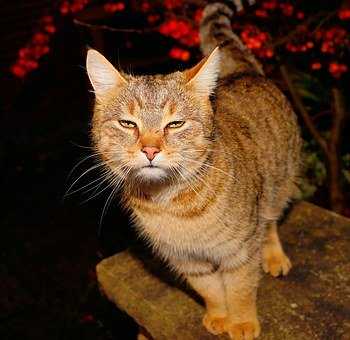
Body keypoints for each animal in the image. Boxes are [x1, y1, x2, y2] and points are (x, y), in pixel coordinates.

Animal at [85, 1, 300, 338]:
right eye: (127, 124)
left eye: (175, 124)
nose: (150, 150)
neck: (171, 203)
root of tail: (244, 72)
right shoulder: (186, 260)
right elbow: (209, 289)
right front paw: (219, 315)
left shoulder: (239, 250)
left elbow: (239, 288)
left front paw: (242, 322)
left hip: (276, 188)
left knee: (270, 223)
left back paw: (274, 254)